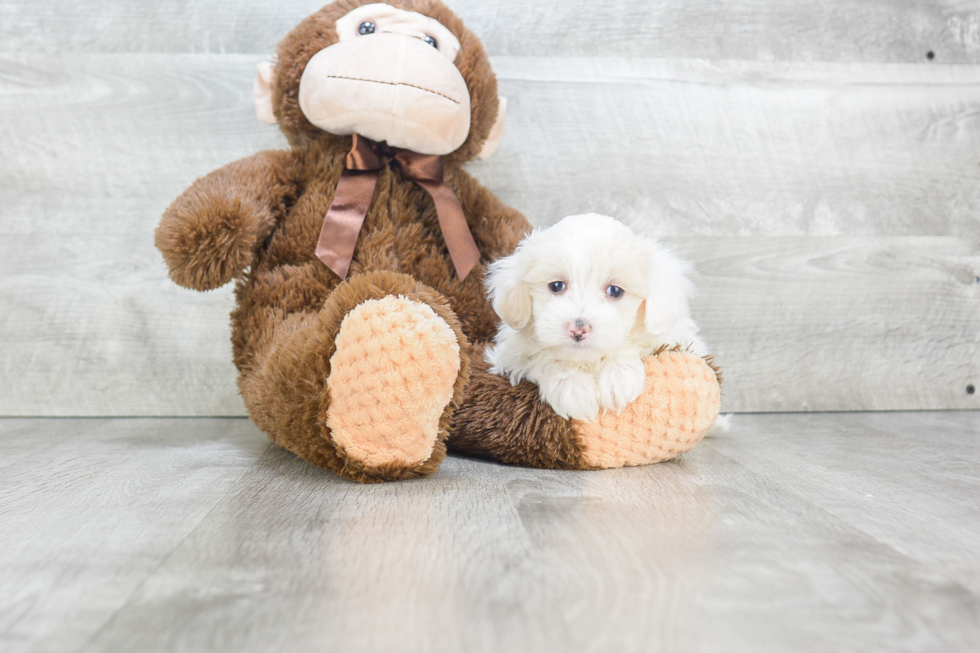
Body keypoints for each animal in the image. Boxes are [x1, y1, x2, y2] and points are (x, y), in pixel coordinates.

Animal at [486, 211, 708, 420]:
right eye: (556, 286)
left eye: (615, 291)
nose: (578, 328)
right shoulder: (510, 356)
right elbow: (540, 358)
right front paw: (572, 386)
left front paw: (618, 374)